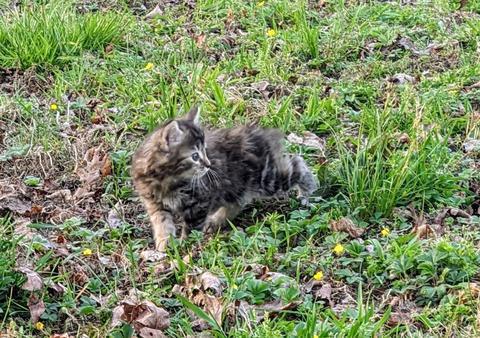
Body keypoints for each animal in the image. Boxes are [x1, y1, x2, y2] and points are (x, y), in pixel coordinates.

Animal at [131, 107, 318, 252]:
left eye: (204, 151)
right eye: (195, 156)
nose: (208, 165)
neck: (166, 180)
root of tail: (258, 132)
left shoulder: (200, 201)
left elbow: (191, 227)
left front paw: (186, 245)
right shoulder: (155, 203)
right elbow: (162, 224)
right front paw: (165, 244)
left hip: (267, 179)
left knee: (297, 163)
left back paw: (308, 191)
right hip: (238, 186)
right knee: (237, 202)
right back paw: (216, 221)